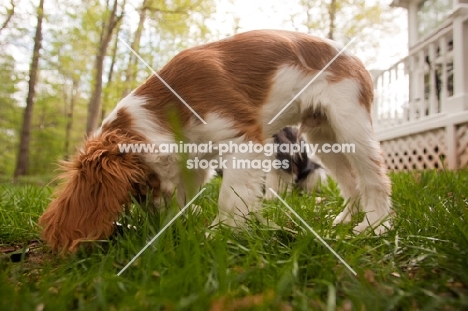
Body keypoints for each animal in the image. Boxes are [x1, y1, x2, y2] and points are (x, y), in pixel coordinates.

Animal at [39, 29, 392, 254]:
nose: (158, 225)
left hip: (350, 124)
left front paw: (217, 235)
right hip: (325, 138)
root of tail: (354, 57)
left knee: (375, 178)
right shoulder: (194, 158)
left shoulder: (243, 139)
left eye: (141, 188)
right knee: (351, 183)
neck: (166, 107)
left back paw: (374, 227)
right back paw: (342, 222)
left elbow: (230, 197)